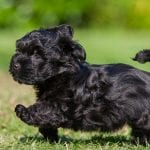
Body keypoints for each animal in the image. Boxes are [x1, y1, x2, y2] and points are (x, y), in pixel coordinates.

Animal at [9, 24, 150, 144]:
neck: (61, 73)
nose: (15, 64)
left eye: (37, 54)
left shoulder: (63, 106)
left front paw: (23, 110)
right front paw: (51, 135)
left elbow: (44, 110)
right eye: (18, 50)